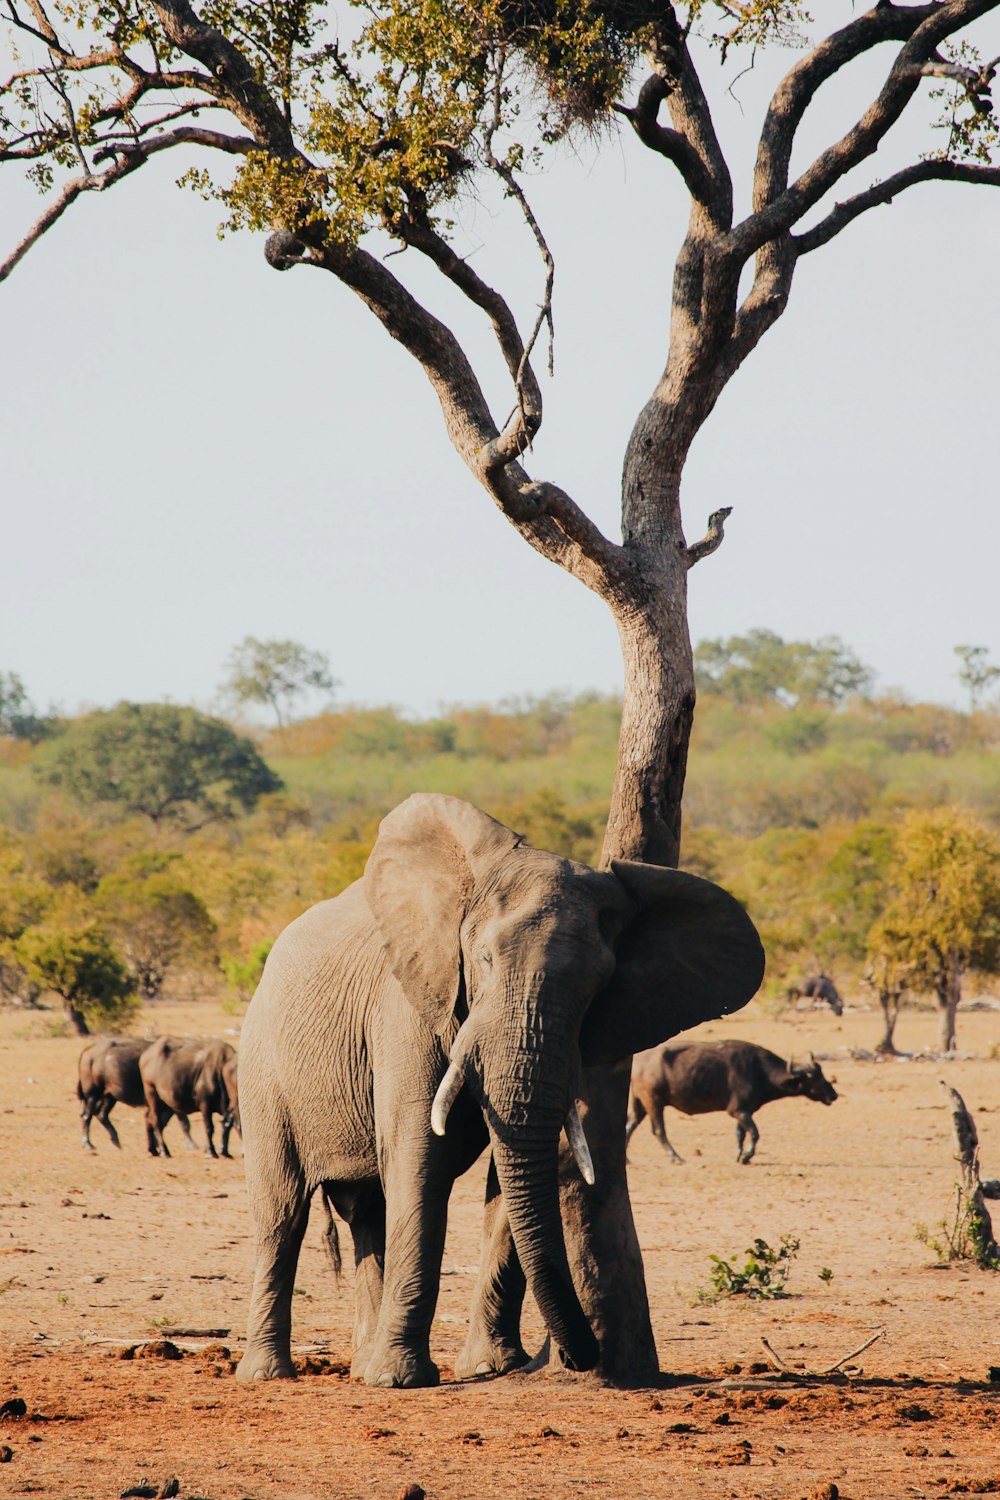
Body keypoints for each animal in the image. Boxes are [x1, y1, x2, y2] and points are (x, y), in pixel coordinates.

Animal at [236, 792, 767, 1386]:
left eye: (597, 985)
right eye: (485, 960)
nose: (585, 1357)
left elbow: (518, 1169)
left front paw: (491, 1366)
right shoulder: (410, 1004)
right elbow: (421, 1157)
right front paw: (402, 1381)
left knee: (366, 1215)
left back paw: (359, 1366)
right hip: (262, 1069)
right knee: (282, 1213)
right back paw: (268, 1374)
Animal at [629, 1038, 839, 1164]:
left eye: (822, 1073)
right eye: (814, 1077)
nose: (833, 1095)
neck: (759, 1071)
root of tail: (639, 1062)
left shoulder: (743, 1111)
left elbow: (740, 1134)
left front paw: (738, 1155)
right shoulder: (739, 1111)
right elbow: (754, 1133)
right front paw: (746, 1156)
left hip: (639, 1103)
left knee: (629, 1126)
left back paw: (627, 1160)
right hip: (653, 1102)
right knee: (658, 1130)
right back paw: (675, 1157)